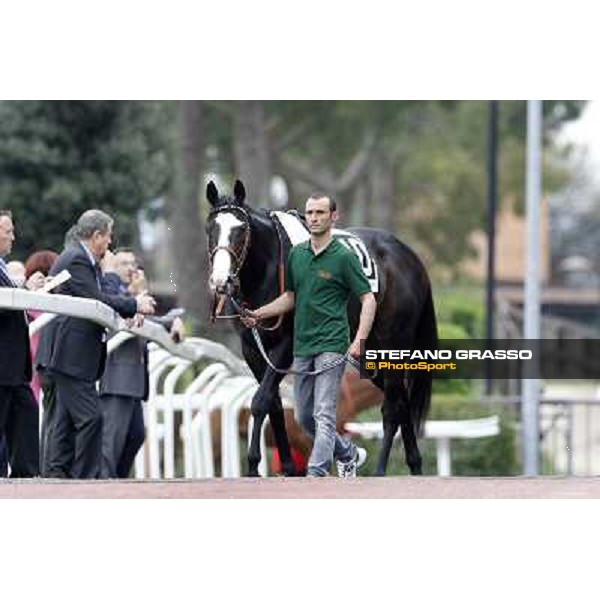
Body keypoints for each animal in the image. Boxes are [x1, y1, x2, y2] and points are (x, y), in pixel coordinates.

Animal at [205, 178, 436, 474]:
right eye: (210, 228)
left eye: (241, 229)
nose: (220, 281)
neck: (270, 266)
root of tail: (410, 257)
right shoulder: (252, 351)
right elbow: (273, 405)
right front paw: (289, 468)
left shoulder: (287, 345)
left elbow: (260, 402)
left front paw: (253, 465)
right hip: (368, 352)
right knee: (402, 402)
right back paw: (415, 465)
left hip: (393, 343)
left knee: (393, 407)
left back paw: (381, 469)